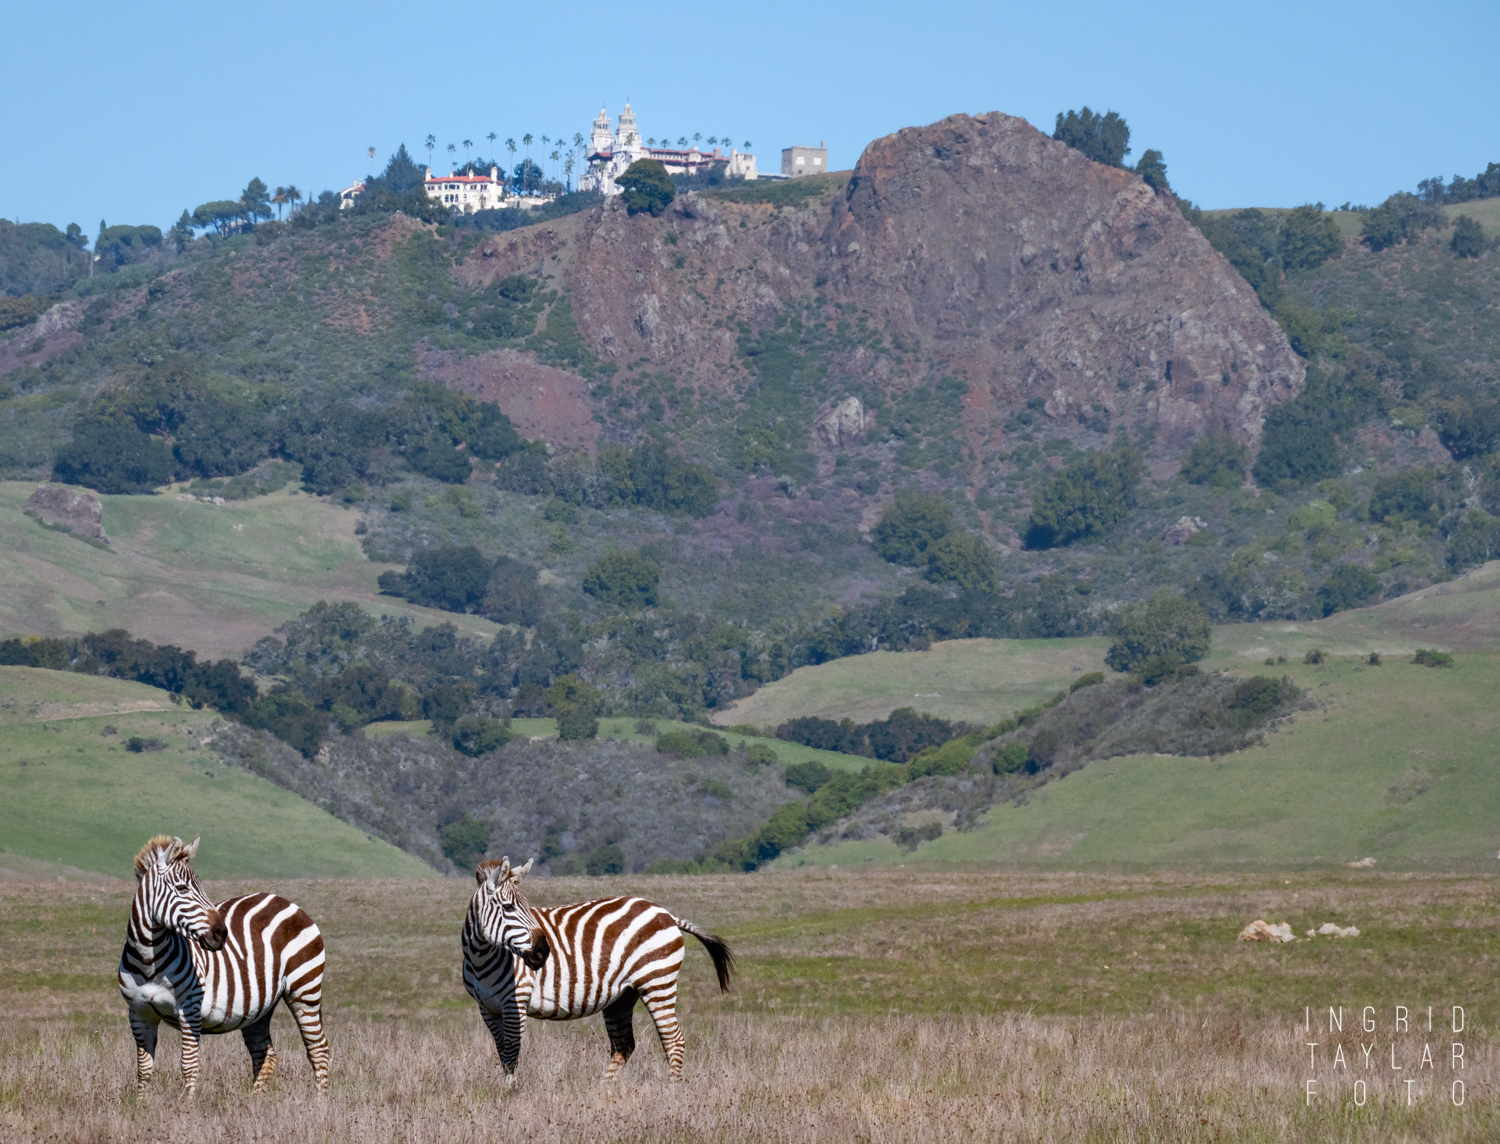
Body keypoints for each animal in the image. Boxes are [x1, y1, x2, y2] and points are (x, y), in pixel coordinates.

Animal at [117, 839, 331, 1097]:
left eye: (202, 887)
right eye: (182, 889)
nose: (221, 933)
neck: (149, 963)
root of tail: (285, 901)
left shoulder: (189, 1009)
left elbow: (188, 1064)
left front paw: (187, 1105)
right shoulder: (139, 1013)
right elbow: (144, 1068)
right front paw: (141, 1103)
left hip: (304, 990)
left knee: (318, 1049)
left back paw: (321, 1101)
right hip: (259, 1006)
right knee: (265, 1053)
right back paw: (253, 1100)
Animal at [459, 857, 735, 1085]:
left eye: (527, 907)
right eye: (508, 908)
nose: (543, 952)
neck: (481, 956)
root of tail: (666, 913)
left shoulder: (515, 1002)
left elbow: (511, 1051)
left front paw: (511, 1092)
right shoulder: (487, 1009)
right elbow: (502, 1052)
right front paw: (507, 1089)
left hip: (657, 982)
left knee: (673, 1040)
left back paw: (672, 1091)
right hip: (622, 996)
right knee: (624, 1045)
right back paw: (603, 1091)